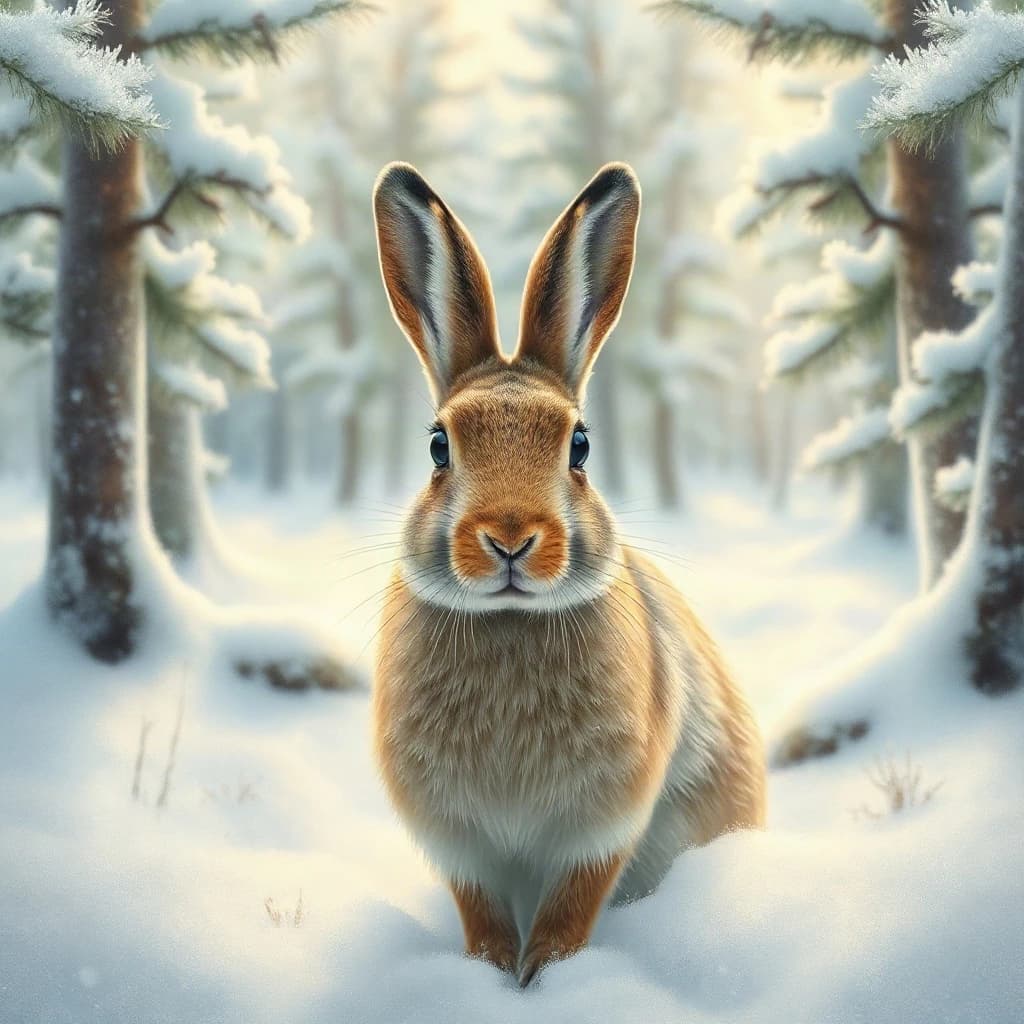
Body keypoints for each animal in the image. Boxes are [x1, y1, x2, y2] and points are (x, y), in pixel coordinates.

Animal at [370, 161, 766, 987]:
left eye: (579, 445)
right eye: (437, 447)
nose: (510, 539)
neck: (510, 620)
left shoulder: (601, 826)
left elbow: (570, 911)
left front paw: (544, 979)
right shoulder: (462, 845)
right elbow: (483, 914)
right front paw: (491, 975)